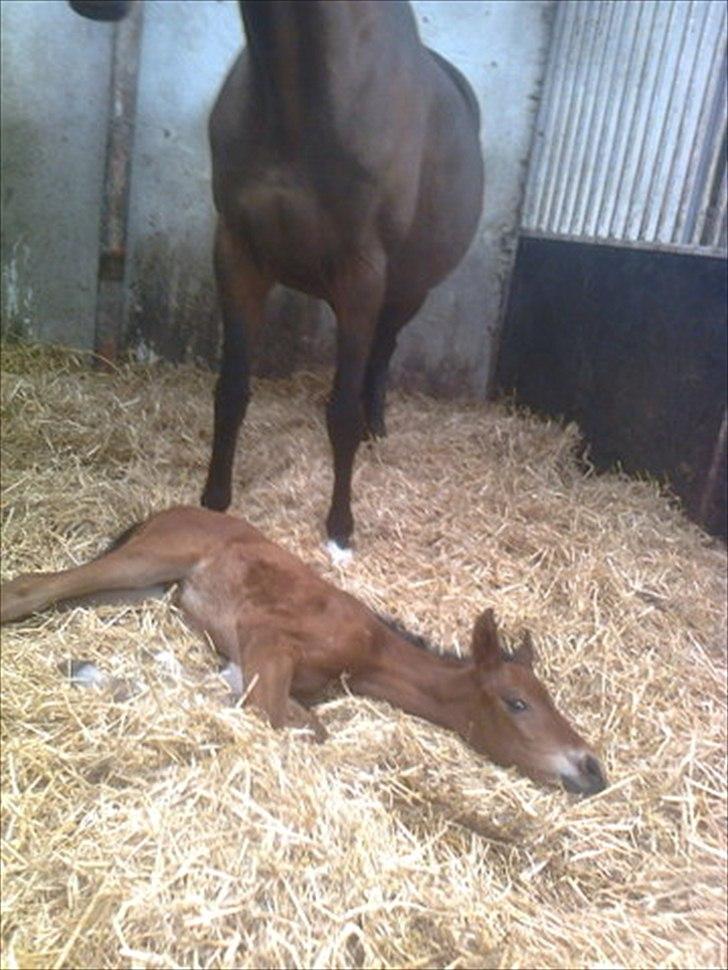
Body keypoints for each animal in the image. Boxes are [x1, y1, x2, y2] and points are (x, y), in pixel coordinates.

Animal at [1, 502, 608, 796]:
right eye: (516, 703)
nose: (592, 768)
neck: (370, 654)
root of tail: (171, 511)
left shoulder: (246, 660)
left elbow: (246, 698)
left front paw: (107, 676)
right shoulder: (269, 639)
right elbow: (292, 721)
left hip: (143, 587)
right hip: (146, 560)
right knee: (30, 588)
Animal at [71, 0, 486, 556]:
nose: (98, 5)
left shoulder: (361, 275)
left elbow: (342, 412)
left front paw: (339, 529)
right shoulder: (238, 255)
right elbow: (231, 390)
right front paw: (214, 499)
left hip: (406, 290)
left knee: (383, 351)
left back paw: (377, 425)